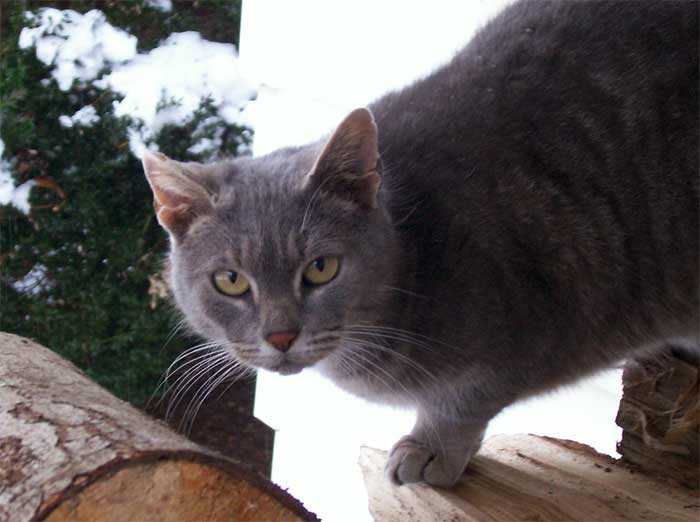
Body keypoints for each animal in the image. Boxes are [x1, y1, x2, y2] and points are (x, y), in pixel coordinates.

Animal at [139, 0, 696, 486]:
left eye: (320, 268)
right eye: (231, 280)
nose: (280, 336)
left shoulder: (535, 316)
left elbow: (465, 396)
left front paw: (430, 450)